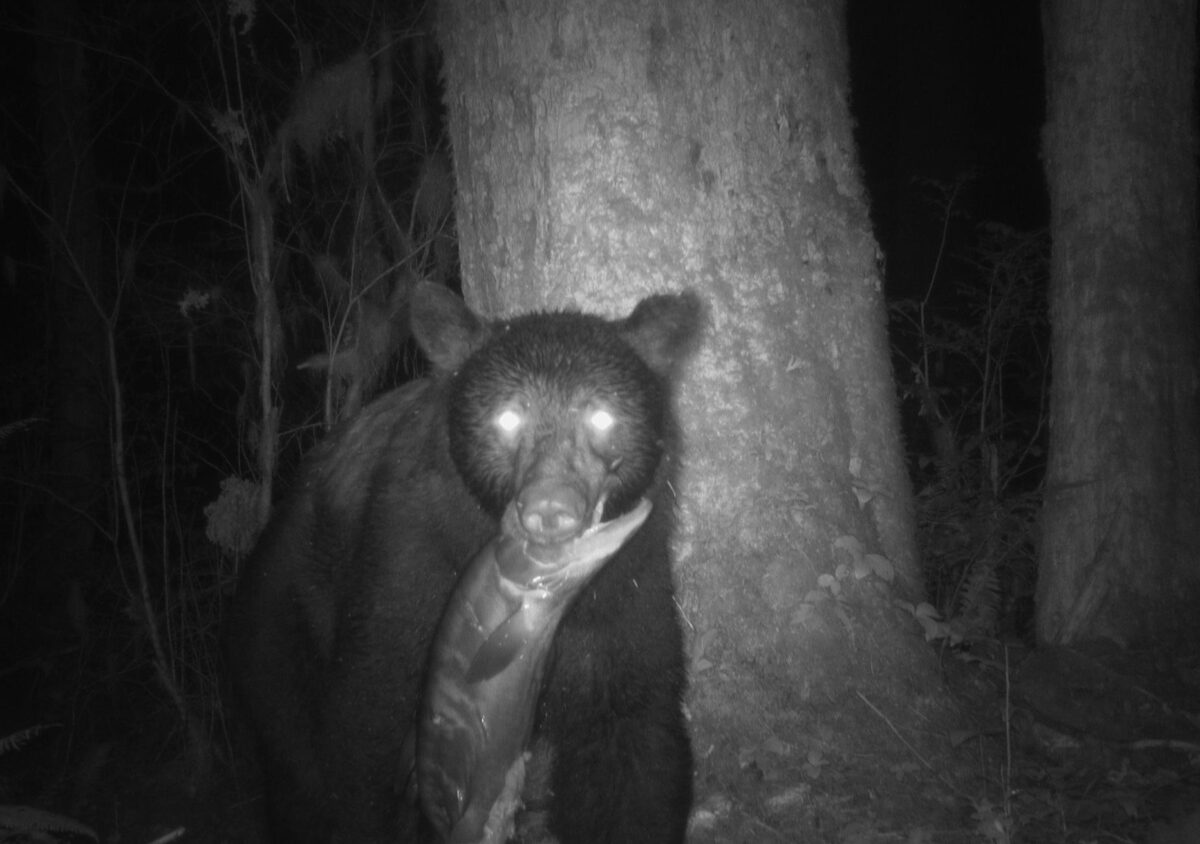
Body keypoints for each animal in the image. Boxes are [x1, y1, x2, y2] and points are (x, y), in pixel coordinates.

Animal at [227, 281, 700, 844]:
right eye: (507, 417)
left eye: (602, 415)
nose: (550, 507)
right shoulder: (412, 564)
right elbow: (365, 726)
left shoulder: (629, 591)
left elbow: (631, 743)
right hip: (283, 636)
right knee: (302, 769)